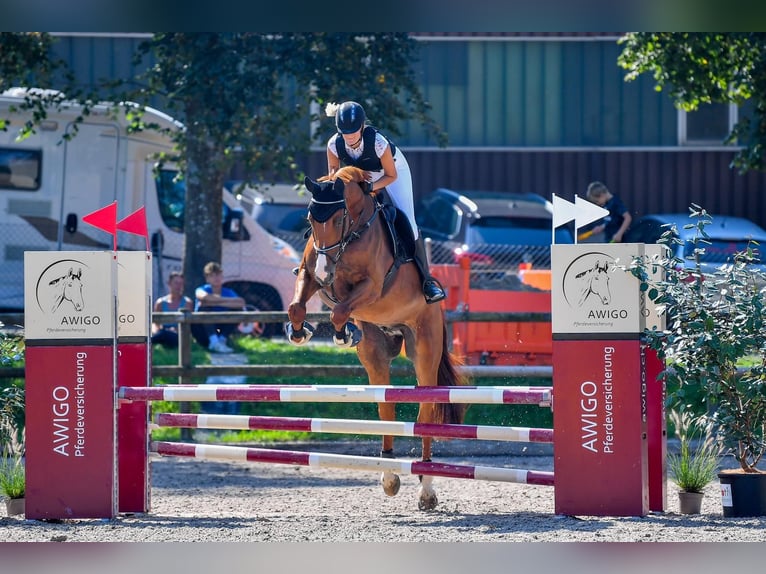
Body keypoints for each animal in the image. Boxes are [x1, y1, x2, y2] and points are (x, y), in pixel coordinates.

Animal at [288, 166, 468, 512]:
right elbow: (297, 305)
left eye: (338, 219)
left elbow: (340, 309)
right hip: (376, 353)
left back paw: (426, 490)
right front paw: (300, 332)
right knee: (386, 409)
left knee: (425, 413)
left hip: (424, 348)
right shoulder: (308, 273)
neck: (352, 234)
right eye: (310, 219)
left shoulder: (371, 287)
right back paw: (389, 476)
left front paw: (342, 335)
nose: (326, 273)